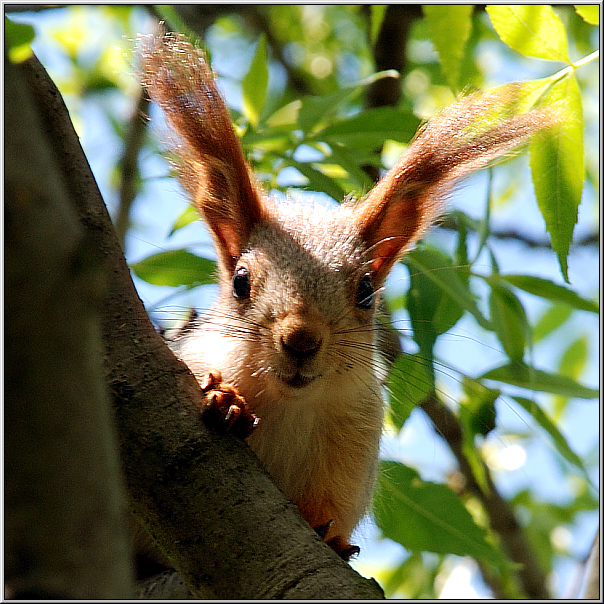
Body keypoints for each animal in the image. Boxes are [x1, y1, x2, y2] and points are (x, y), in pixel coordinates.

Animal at [139, 31, 556, 560]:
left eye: (366, 291)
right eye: (240, 282)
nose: (301, 340)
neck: (290, 405)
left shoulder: (352, 444)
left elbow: (330, 507)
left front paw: (331, 536)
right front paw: (225, 399)